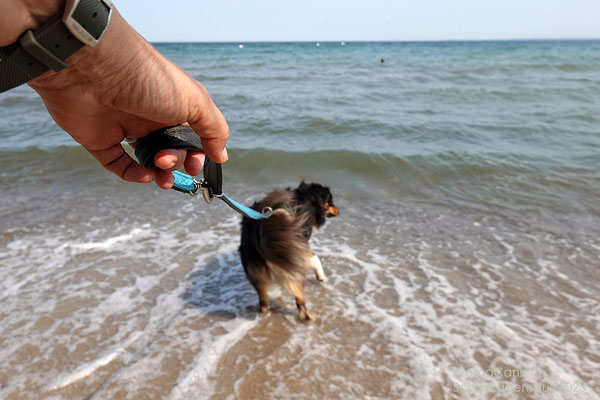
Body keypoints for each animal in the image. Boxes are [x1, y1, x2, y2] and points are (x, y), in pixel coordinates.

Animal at [241, 183, 340, 320]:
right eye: (330, 201)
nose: (338, 211)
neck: (307, 199)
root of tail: (259, 229)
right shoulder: (300, 245)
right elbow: (315, 259)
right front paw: (321, 277)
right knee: (299, 297)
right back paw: (307, 316)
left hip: (254, 263)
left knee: (263, 301)